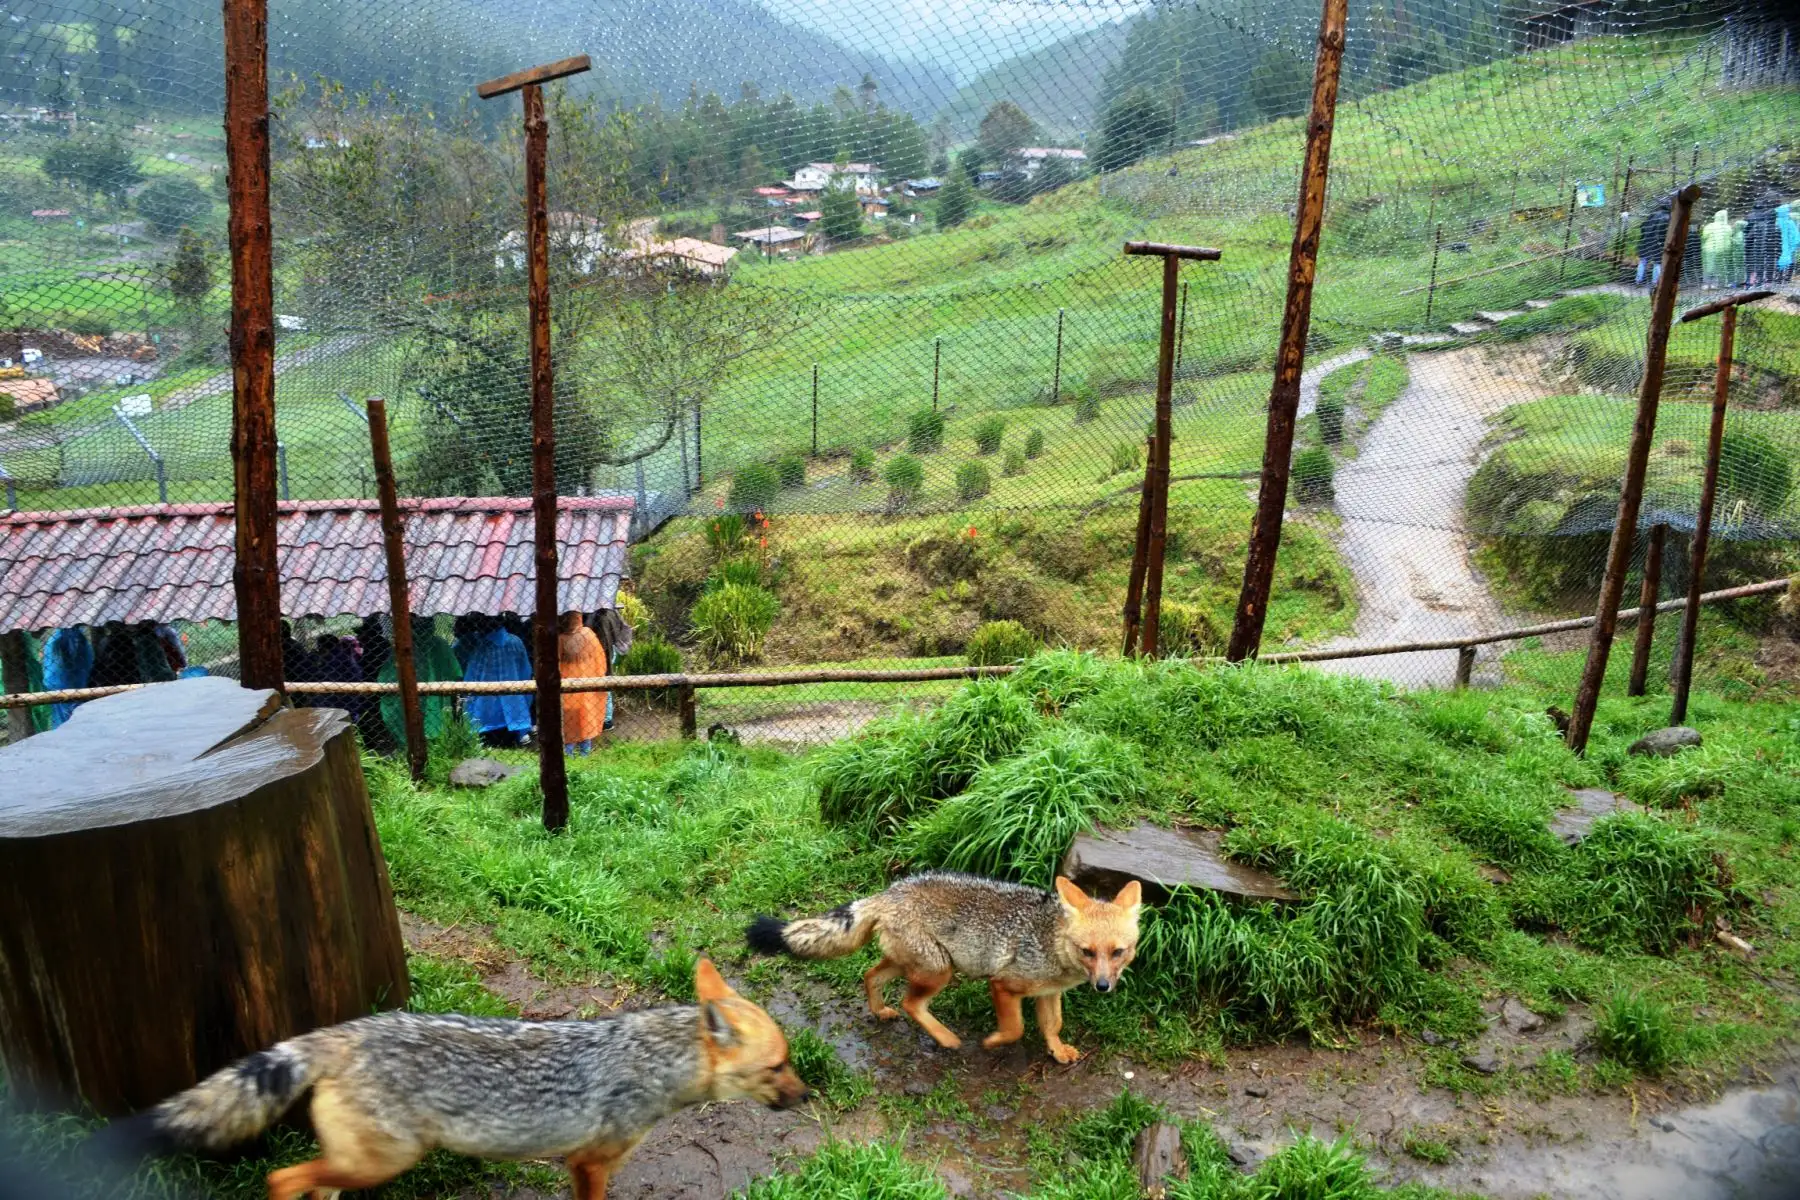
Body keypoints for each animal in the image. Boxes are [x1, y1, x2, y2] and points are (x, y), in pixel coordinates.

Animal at [91, 959, 808, 1200]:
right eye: (779, 1067)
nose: (809, 1095)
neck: (651, 1060)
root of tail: (346, 1031)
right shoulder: (588, 1164)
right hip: (380, 1162)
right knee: (280, 1179)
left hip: (358, 1167)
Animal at [748, 871, 1142, 1064]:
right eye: (1087, 952)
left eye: (1118, 952)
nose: (1103, 986)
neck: (1051, 941)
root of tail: (888, 892)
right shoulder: (1003, 985)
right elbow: (1014, 1028)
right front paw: (992, 1041)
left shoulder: (1048, 993)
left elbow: (1052, 1025)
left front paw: (1057, 1051)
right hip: (940, 972)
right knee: (911, 1003)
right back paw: (946, 1038)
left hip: (911, 964)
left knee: (870, 975)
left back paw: (880, 1011)